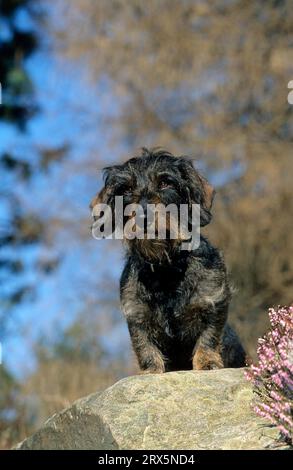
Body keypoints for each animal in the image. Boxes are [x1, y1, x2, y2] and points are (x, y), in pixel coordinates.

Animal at [90, 149, 245, 372]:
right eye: (126, 189)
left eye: (165, 183)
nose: (143, 216)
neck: (166, 269)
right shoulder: (136, 314)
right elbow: (144, 346)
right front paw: (150, 371)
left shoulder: (214, 300)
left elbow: (209, 336)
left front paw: (207, 363)